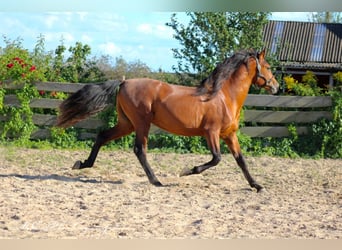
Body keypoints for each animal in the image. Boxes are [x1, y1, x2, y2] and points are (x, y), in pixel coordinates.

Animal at [57, 49, 280, 193]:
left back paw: (82, 164)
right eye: (268, 67)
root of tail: (124, 82)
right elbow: (217, 158)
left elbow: (241, 160)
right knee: (140, 149)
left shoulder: (229, 134)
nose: (276, 87)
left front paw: (257, 186)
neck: (224, 97)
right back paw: (156, 181)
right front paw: (187, 171)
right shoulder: (211, 132)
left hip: (126, 124)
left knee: (102, 135)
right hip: (141, 123)